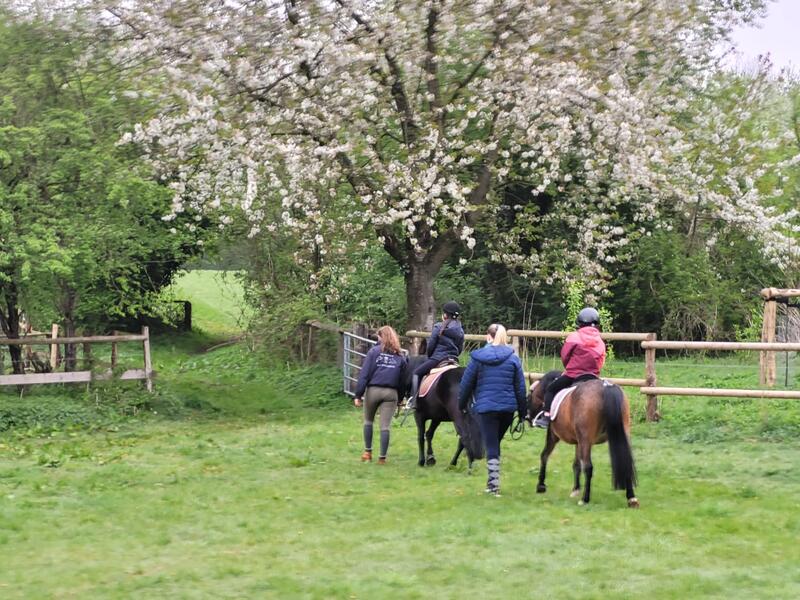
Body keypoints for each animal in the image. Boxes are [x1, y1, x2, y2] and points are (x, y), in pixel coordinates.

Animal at [528, 370, 640, 506]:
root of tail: (606, 386)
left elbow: (544, 456)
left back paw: (585, 499)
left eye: (528, 397)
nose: (528, 419)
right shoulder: (578, 441)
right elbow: (576, 464)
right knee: (626, 461)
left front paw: (541, 486)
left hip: (586, 440)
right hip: (622, 434)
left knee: (588, 467)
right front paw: (575, 489)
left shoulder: (553, 435)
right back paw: (631, 498)